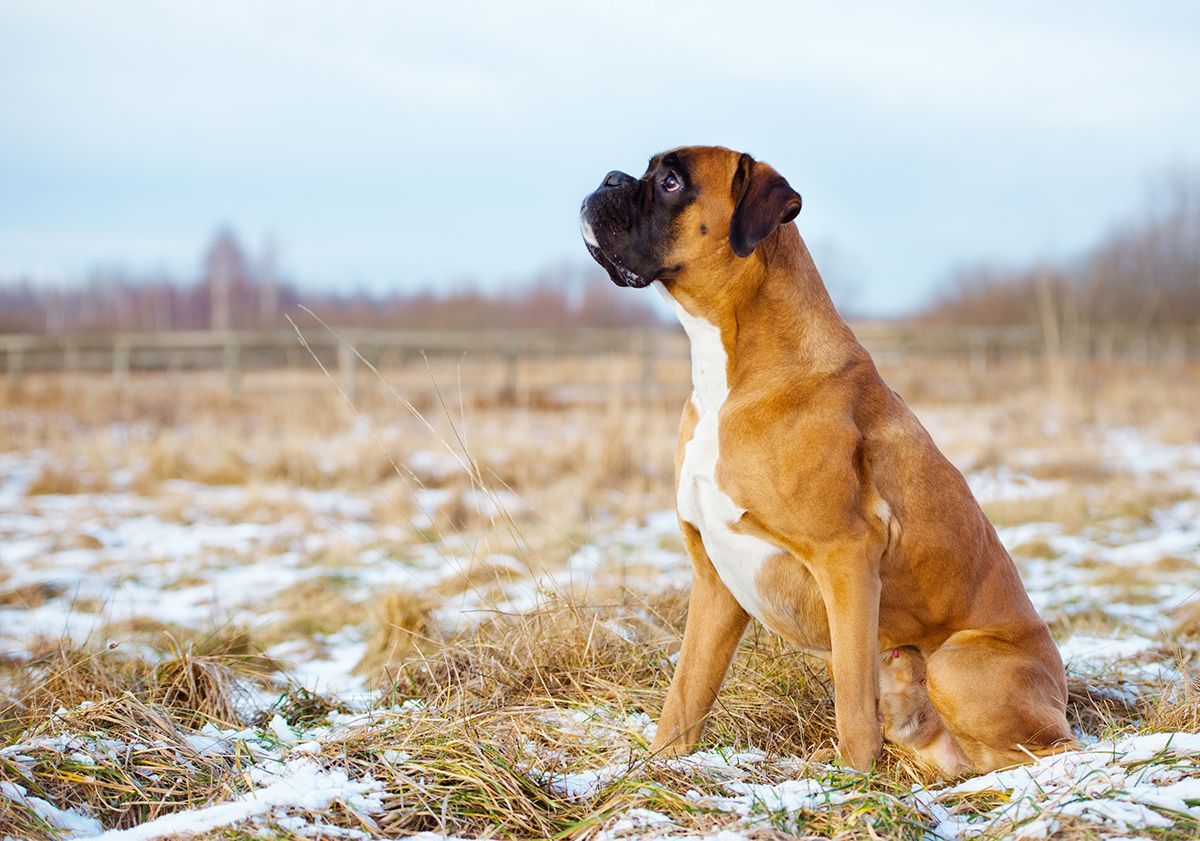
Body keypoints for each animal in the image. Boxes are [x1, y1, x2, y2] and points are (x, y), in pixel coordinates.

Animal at [576, 145, 1075, 772]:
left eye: (670, 181)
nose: (607, 178)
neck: (730, 371)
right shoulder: (714, 581)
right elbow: (685, 696)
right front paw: (657, 771)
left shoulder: (847, 559)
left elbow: (852, 708)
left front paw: (851, 780)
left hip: (956, 664)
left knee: (1046, 749)